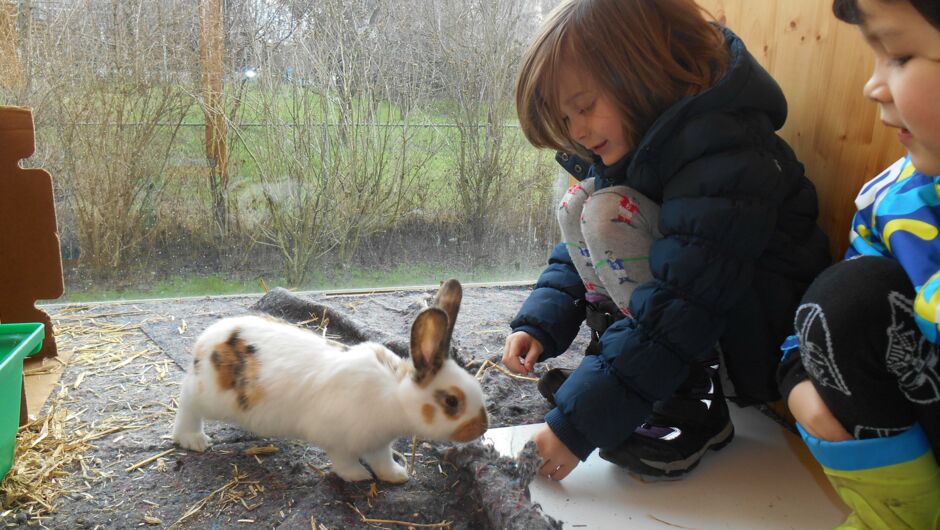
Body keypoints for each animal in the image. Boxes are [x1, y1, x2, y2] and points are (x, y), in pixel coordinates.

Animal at [172, 278, 488, 480]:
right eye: (451, 401)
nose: (482, 427)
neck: (393, 396)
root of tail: (207, 340)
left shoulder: (379, 444)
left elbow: (383, 462)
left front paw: (398, 476)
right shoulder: (339, 442)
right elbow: (345, 464)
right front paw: (359, 477)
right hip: (208, 395)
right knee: (187, 402)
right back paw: (193, 439)